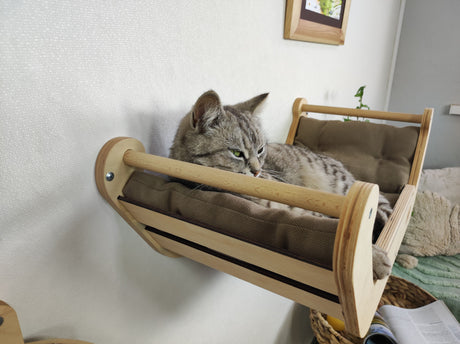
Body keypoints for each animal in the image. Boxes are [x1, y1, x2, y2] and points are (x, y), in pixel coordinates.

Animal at [169, 90, 392, 278]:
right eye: (237, 153)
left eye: (260, 150)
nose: (257, 171)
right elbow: (337, 229)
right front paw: (373, 258)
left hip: (341, 185)